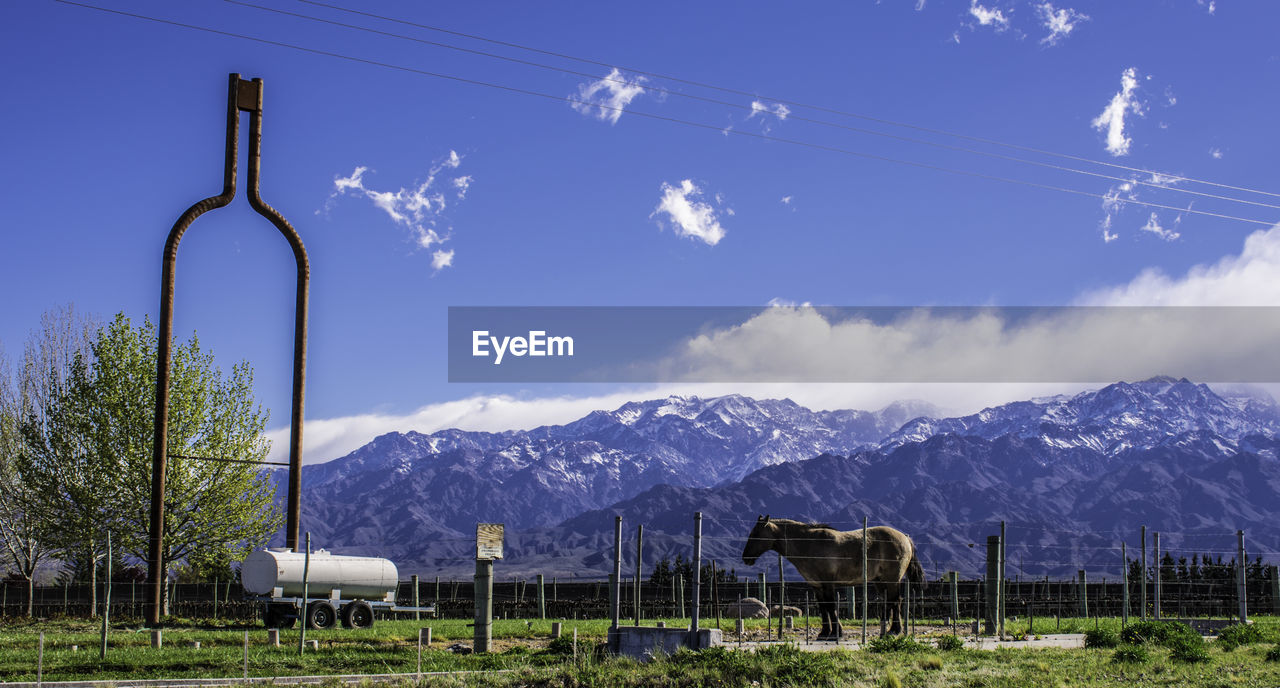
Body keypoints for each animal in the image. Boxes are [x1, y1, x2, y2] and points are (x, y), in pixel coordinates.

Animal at [742, 514, 921, 636]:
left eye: (755, 534)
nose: (745, 558)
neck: (809, 545)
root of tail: (905, 537)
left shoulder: (828, 584)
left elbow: (830, 606)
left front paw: (836, 632)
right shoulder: (816, 586)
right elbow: (823, 608)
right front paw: (824, 632)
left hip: (892, 580)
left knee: (895, 601)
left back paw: (893, 630)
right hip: (880, 581)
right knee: (891, 601)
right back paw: (890, 629)